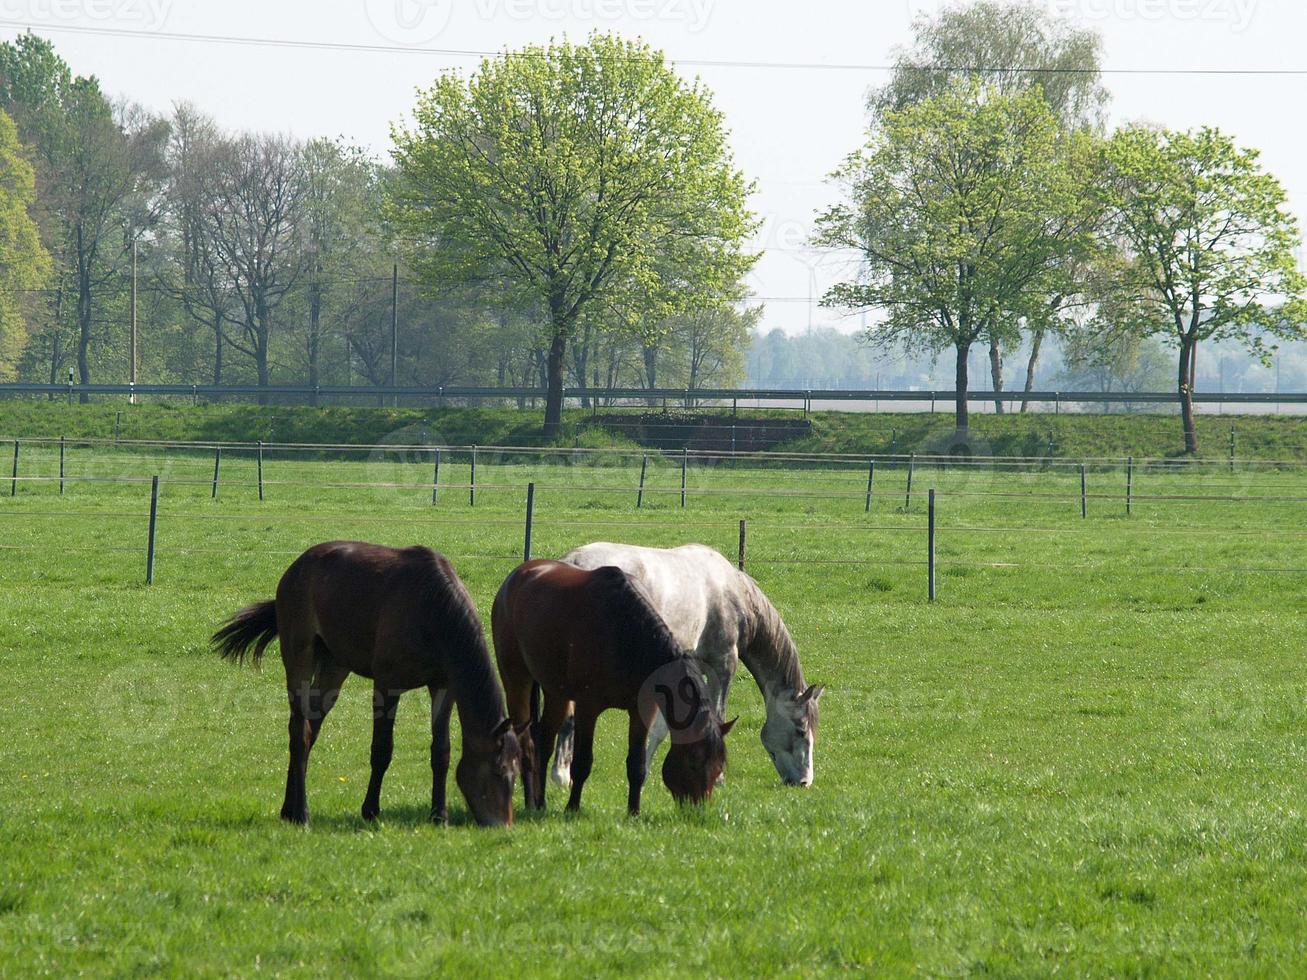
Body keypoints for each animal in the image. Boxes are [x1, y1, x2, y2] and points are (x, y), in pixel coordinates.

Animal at [211, 546, 517, 831]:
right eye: (499, 771)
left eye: (516, 775)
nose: (503, 824)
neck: (433, 609)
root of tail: (294, 569)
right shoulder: (387, 685)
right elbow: (382, 749)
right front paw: (371, 810)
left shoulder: (442, 685)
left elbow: (441, 751)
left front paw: (439, 815)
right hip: (300, 657)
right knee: (299, 732)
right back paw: (302, 813)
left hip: (334, 666)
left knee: (311, 727)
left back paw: (289, 808)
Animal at [491, 559, 737, 820]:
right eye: (692, 760)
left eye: (719, 767)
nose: (697, 811)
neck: (626, 634)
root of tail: (518, 575)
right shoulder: (587, 708)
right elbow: (582, 762)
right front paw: (572, 807)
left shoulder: (642, 711)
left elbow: (637, 764)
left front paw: (634, 811)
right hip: (517, 681)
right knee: (526, 744)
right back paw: (531, 802)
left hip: (556, 693)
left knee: (543, 743)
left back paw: (540, 802)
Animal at [556, 540, 820, 789]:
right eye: (801, 730)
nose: (804, 781)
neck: (733, 593)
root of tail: (572, 561)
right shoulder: (722, 667)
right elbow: (717, 715)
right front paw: (718, 776)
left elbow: (664, 727)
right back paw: (561, 775)